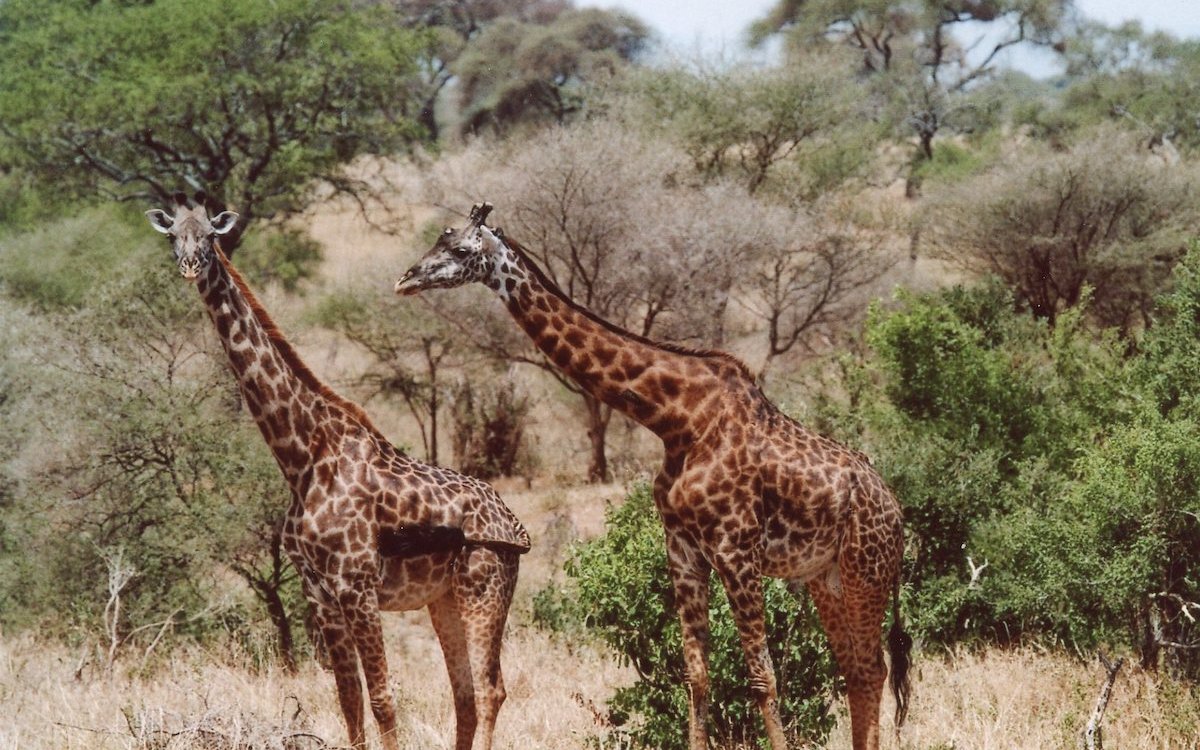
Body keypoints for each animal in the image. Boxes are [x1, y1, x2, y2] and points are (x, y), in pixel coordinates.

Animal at [146, 194, 530, 748]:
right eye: (174, 235)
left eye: (211, 235)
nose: (191, 265)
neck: (301, 458)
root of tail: (515, 524)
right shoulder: (321, 593)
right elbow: (349, 702)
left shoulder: (358, 586)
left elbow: (384, 701)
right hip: (444, 600)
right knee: (464, 696)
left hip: (485, 588)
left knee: (490, 690)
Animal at [393, 201, 907, 748]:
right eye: (437, 240)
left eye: (459, 249)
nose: (406, 279)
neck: (677, 419)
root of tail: (897, 511)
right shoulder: (682, 547)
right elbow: (697, 674)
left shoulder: (736, 547)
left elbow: (763, 678)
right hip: (825, 578)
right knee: (856, 670)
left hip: (866, 570)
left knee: (872, 668)